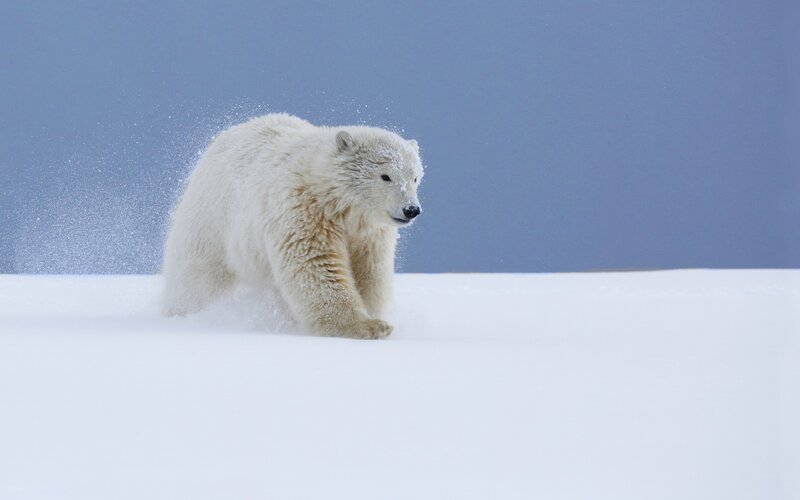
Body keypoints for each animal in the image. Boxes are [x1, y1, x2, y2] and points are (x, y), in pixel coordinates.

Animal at [161, 113, 423, 339]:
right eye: (385, 176)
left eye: (415, 177)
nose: (411, 209)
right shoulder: (302, 211)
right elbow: (315, 266)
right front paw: (366, 326)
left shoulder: (370, 232)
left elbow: (370, 271)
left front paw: (373, 314)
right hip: (211, 221)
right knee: (198, 279)